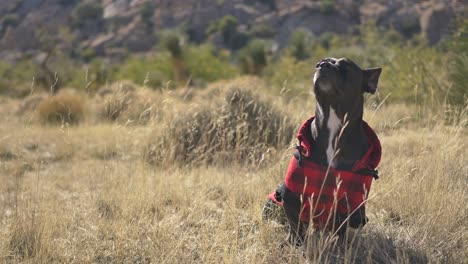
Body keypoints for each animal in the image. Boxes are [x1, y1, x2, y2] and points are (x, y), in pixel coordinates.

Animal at [266, 57, 382, 245]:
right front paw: (293, 244)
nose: (323, 65)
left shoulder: (349, 203)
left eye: (347, 66)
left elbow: (340, 229)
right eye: (319, 63)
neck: (334, 122)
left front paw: (338, 246)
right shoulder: (291, 196)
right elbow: (295, 227)